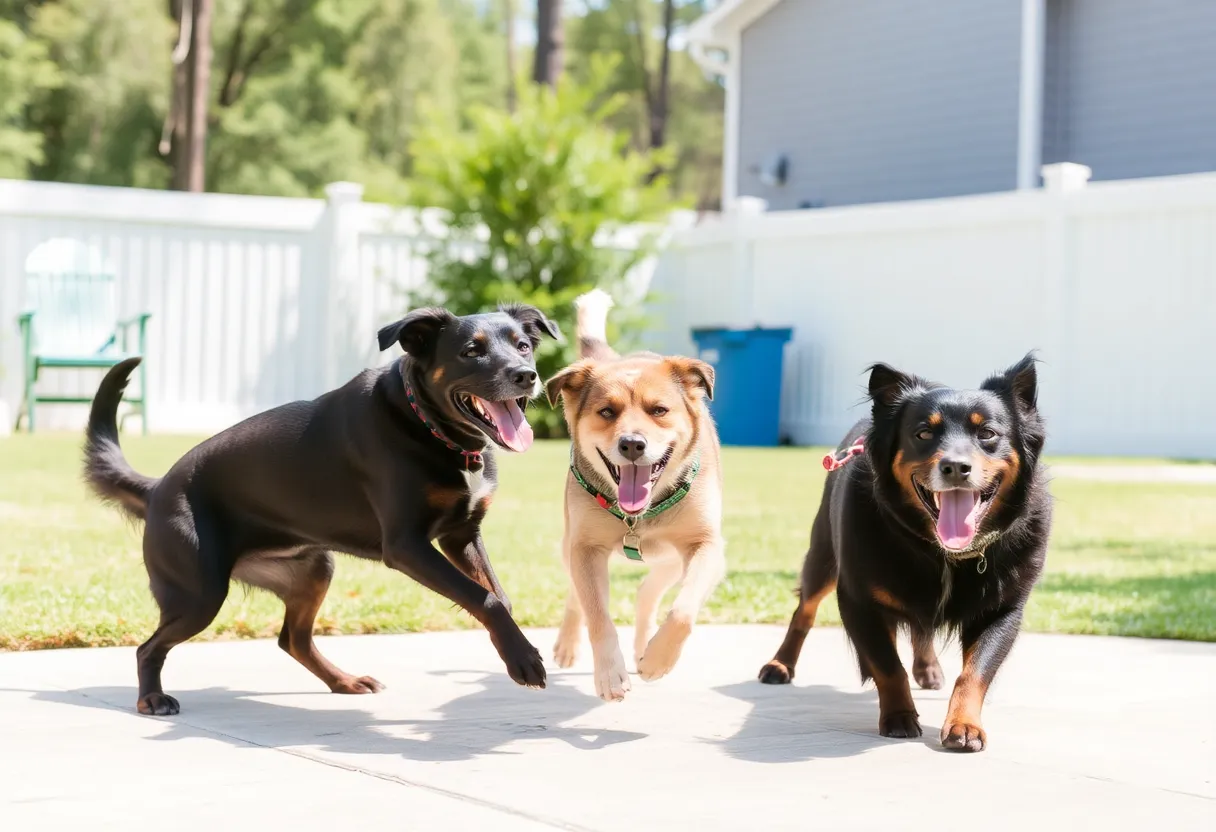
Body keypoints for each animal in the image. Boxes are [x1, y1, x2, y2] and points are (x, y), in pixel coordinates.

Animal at [85, 304, 559, 715]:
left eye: (523, 345)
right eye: (470, 351)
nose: (526, 375)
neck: (428, 426)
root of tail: (157, 488)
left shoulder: (461, 536)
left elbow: (497, 597)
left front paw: (515, 649)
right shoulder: (407, 546)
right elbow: (486, 599)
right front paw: (523, 660)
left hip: (312, 569)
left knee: (292, 640)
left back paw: (343, 681)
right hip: (199, 593)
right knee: (148, 647)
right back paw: (152, 698)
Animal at [547, 289, 724, 700]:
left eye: (659, 410)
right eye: (606, 411)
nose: (631, 444)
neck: (638, 517)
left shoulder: (707, 546)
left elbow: (683, 611)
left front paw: (658, 660)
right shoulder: (586, 548)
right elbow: (597, 615)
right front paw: (610, 674)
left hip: (670, 560)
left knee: (647, 593)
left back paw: (646, 647)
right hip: (568, 542)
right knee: (577, 593)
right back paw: (569, 643)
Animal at [753, 355, 1050, 749]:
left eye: (987, 433)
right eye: (923, 433)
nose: (956, 467)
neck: (944, 552)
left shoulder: (1002, 610)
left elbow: (976, 671)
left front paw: (964, 725)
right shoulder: (858, 599)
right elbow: (887, 664)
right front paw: (898, 717)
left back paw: (928, 669)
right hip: (823, 558)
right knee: (805, 610)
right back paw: (780, 664)